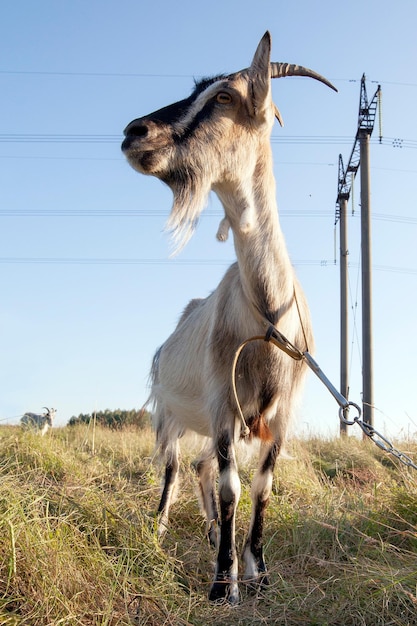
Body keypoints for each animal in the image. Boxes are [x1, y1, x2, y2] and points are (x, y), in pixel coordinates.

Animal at [121, 31, 334, 604]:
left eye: (223, 97)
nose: (133, 133)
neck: (267, 317)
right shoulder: (221, 406)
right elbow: (231, 486)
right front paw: (222, 583)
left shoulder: (280, 416)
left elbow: (260, 487)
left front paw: (256, 570)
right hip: (170, 415)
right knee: (174, 470)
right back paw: (160, 529)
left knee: (196, 470)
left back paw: (216, 533)